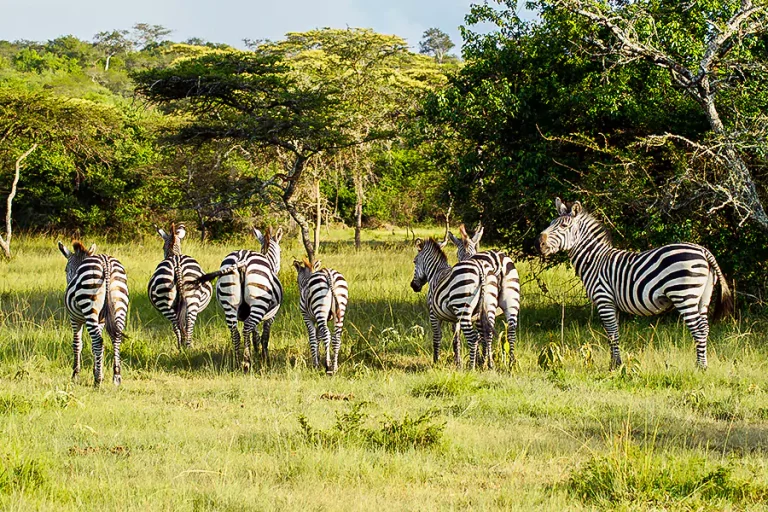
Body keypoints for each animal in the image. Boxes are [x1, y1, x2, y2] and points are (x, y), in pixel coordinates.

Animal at [57, 240, 129, 384]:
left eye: (66, 269)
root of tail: (106, 263)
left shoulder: (74, 319)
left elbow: (77, 344)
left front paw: (75, 374)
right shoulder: (101, 321)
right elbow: (92, 348)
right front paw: (95, 369)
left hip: (89, 306)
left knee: (98, 342)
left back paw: (98, 380)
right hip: (120, 305)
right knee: (116, 338)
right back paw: (116, 376)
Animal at [196, 226, 284, 370]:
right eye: (280, 251)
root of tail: (242, 259)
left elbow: (255, 334)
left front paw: (256, 350)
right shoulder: (272, 314)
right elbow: (265, 336)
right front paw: (265, 359)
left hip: (229, 303)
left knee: (235, 332)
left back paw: (237, 363)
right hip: (258, 302)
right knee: (247, 327)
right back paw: (246, 362)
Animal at [408, 238, 498, 370]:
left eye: (414, 261)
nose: (413, 286)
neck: (435, 272)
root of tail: (480, 268)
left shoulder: (433, 313)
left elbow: (437, 337)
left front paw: (436, 361)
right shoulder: (455, 319)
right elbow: (456, 339)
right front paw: (458, 363)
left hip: (463, 308)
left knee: (473, 338)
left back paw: (471, 368)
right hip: (489, 307)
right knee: (488, 334)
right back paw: (490, 365)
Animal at [536, 198, 736, 370]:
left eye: (563, 226)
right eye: (551, 222)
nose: (539, 244)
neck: (595, 260)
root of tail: (703, 251)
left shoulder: (604, 299)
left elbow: (612, 334)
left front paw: (615, 366)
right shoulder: (613, 303)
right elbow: (612, 334)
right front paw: (614, 363)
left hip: (684, 295)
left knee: (699, 330)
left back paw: (700, 368)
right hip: (702, 297)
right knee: (705, 328)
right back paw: (702, 364)